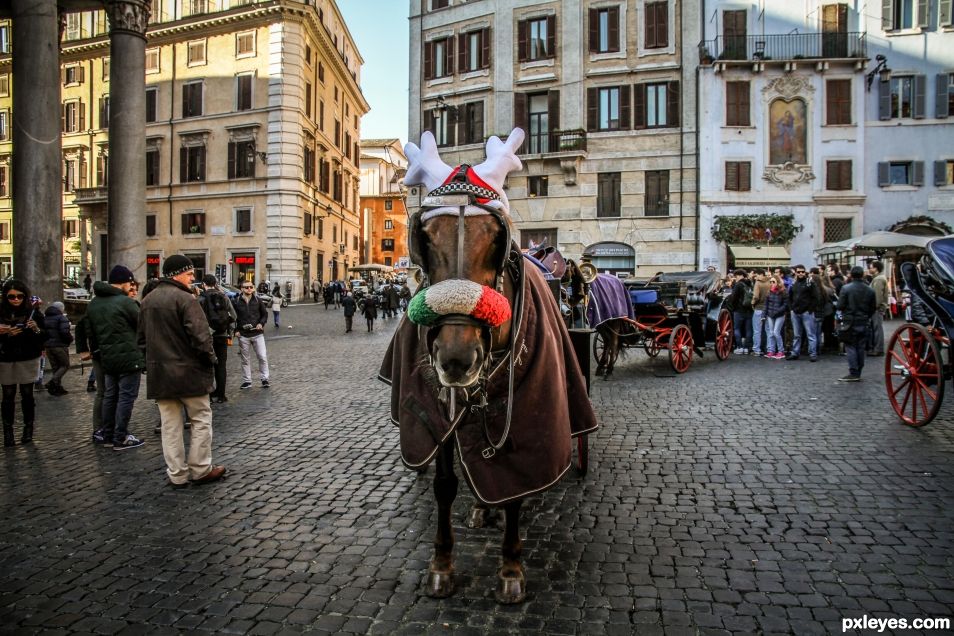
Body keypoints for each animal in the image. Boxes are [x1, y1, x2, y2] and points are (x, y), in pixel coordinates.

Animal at [380, 129, 596, 600]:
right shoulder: (439, 413)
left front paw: (511, 569)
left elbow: (515, 488)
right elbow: (445, 484)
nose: (456, 357)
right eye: (426, 238)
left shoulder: (524, 422)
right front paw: (442, 564)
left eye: (497, 240)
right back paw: (481, 508)